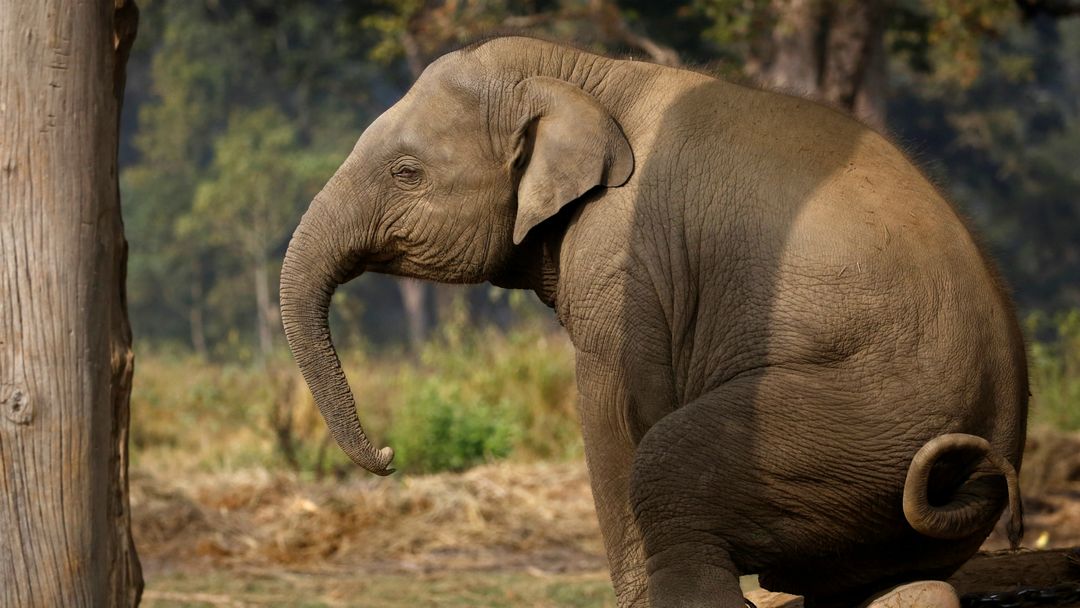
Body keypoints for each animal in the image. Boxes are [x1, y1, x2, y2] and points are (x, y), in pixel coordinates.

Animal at [279, 36, 1028, 608]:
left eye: (407, 173)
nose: (388, 456)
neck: (582, 72)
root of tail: (991, 463)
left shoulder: (625, 251)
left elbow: (615, 407)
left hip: (855, 422)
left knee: (669, 468)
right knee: (899, 585)